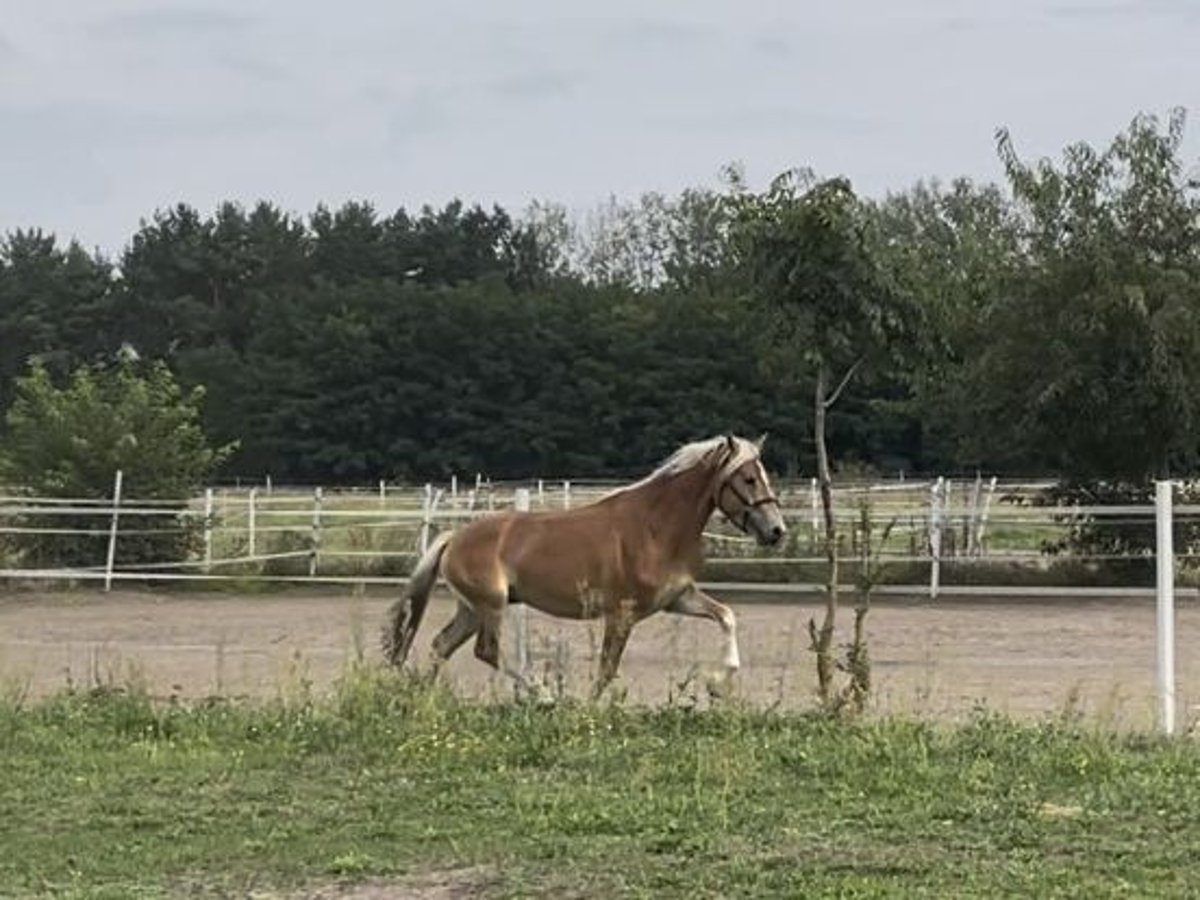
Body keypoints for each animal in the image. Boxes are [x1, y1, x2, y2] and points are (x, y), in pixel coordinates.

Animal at [384, 434, 792, 696]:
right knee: (485, 650)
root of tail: (453, 538)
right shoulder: (622, 614)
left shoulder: (678, 598)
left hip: (472, 609)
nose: (776, 531)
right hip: (491, 605)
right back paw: (543, 696)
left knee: (442, 644)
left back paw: (426, 698)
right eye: (748, 478)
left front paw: (718, 684)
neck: (655, 527)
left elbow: (726, 616)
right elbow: (606, 671)